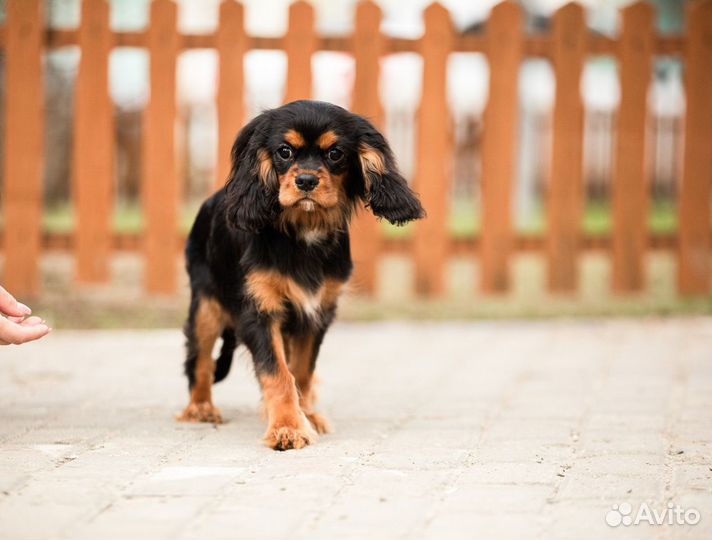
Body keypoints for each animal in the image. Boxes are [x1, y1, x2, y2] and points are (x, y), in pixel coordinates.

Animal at [178, 99, 422, 450]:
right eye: (284, 152)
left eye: (335, 153)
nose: (306, 181)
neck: (303, 229)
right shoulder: (259, 311)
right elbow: (278, 373)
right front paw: (287, 427)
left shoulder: (315, 312)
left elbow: (302, 371)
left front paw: (305, 416)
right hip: (206, 308)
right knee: (200, 360)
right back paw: (200, 408)